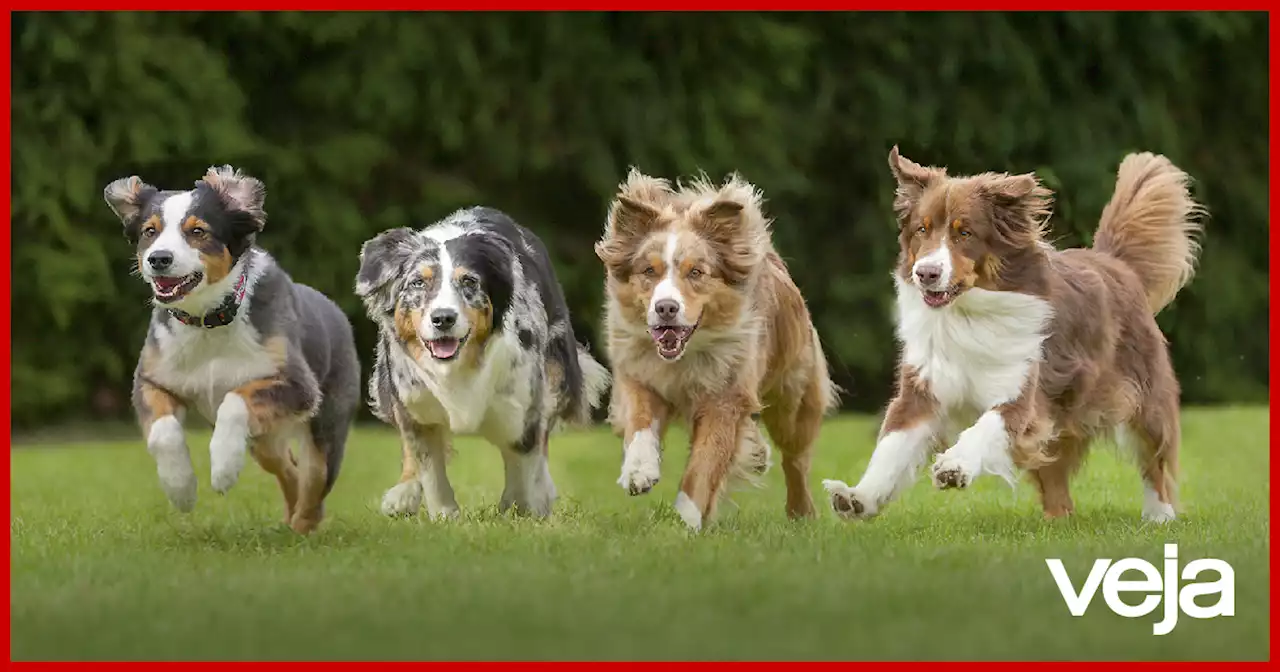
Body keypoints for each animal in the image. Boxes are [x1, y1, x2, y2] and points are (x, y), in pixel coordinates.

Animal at [104, 165, 360, 532]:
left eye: (198, 231)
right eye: (149, 231)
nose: (158, 259)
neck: (208, 322)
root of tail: (336, 311)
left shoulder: (298, 385)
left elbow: (234, 400)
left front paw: (223, 470)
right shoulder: (153, 379)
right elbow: (164, 432)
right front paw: (181, 489)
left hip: (326, 422)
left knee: (315, 478)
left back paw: (302, 526)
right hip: (264, 440)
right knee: (289, 467)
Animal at [353, 207, 606, 517]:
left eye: (469, 282)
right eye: (417, 282)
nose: (443, 318)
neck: (459, 366)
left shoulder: (524, 404)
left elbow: (524, 460)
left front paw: (523, 508)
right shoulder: (413, 403)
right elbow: (428, 466)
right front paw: (445, 516)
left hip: (557, 369)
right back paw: (404, 494)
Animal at [596, 167, 839, 529]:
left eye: (696, 272)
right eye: (648, 270)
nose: (666, 307)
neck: (685, 356)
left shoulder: (726, 395)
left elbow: (705, 463)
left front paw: (685, 520)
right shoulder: (639, 373)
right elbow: (640, 422)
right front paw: (639, 472)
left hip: (793, 397)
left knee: (795, 459)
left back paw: (802, 514)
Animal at [824, 146, 1203, 522]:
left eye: (965, 233)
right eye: (922, 229)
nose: (926, 273)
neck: (965, 316)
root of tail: (1116, 263)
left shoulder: (1022, 388)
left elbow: (987, 426)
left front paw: (954, 466)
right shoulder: (923, 386)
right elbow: (892, 445)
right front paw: (858, 497)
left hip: (1143, 392)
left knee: (1154, 455)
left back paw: (1159, 515)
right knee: (1055, 476)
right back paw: (1059, 520)